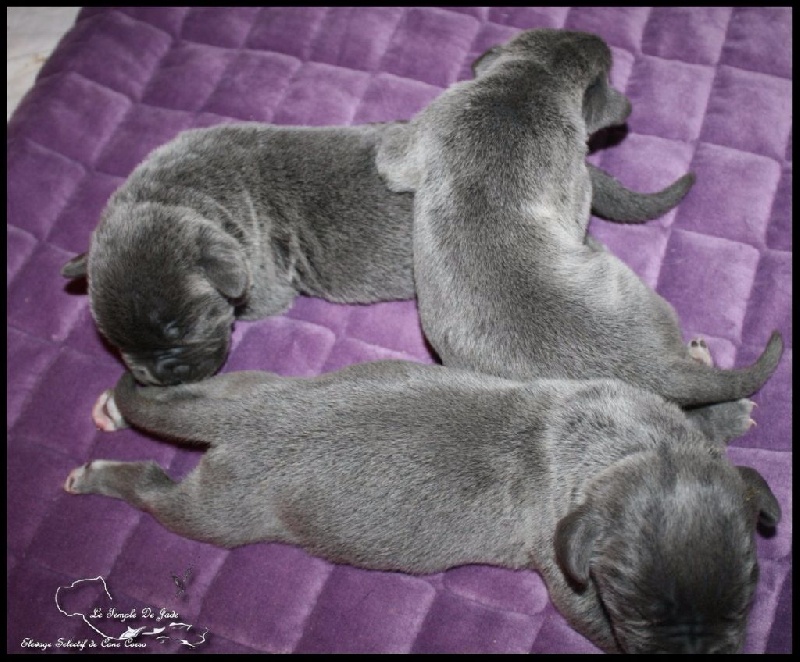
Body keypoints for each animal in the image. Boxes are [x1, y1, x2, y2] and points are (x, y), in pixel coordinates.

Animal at [65, 366, 780, 656]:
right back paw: (98, 473)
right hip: (220, 510)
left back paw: (118, 403)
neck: (632, 449)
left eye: (745, 598)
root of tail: (243, 419)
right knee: (154, 489)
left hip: (247, 384)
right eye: (639, 611)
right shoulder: (569, 578)